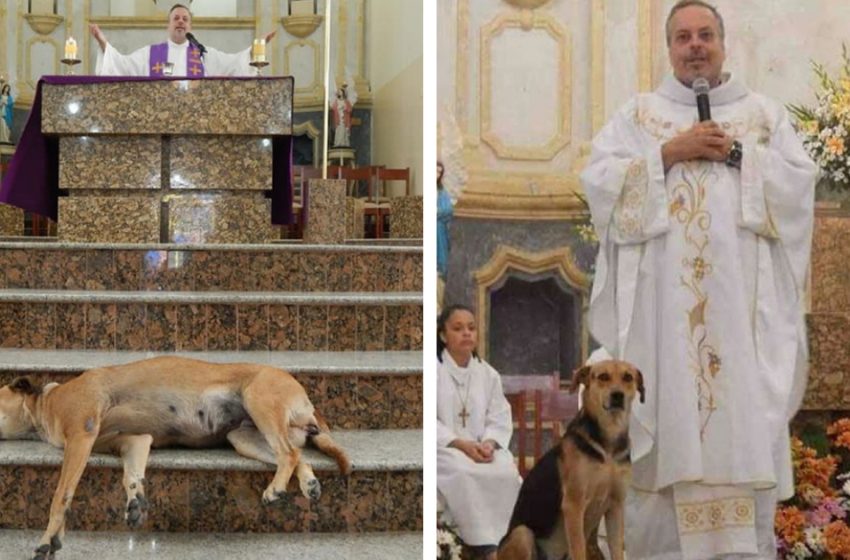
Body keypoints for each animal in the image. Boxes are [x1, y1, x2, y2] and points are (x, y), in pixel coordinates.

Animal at [0, 356, 352, 556]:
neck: (46, 404)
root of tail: (306, 400)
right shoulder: (133, 441)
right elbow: (131, 474)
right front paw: (135, 500)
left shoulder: (81, 436)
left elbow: (61, 495)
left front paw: (49, 538)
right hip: (243, 437)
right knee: (297, 455)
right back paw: (308, 484)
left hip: (259, 400)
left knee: (289, 453)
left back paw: (276, 488)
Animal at [496, 358, 644, 560]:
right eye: (603, 377)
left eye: (628, 377)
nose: (617, 395)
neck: (608, 444)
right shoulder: (574, 505)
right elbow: (579, 549)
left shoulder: (616, 507)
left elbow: (617, 551)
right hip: (522, 534)